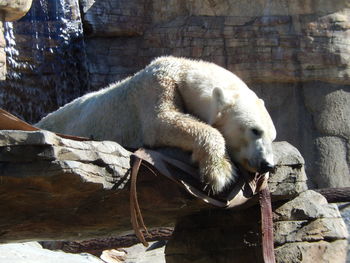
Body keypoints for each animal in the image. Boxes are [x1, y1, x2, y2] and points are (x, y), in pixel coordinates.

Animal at [36, 56, 276, 194]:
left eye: (272, 136)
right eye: (255, 130)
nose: (268, 165)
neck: (181, 69)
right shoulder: (157, 86)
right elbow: (161, 121)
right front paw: (220, 173)